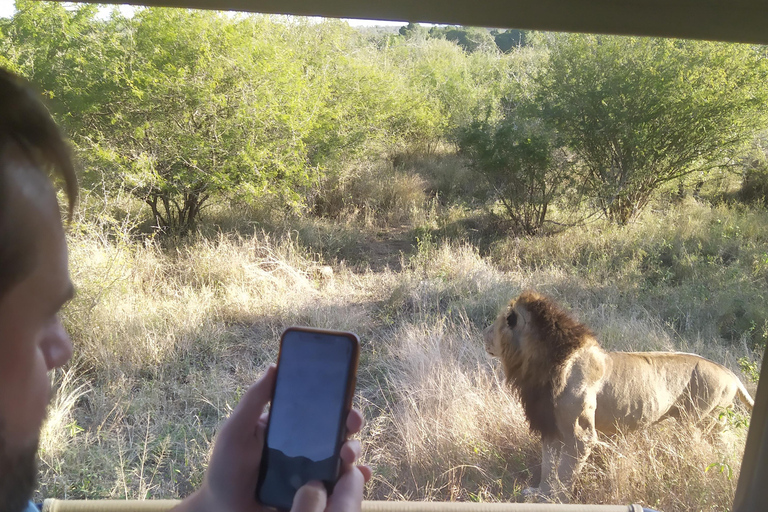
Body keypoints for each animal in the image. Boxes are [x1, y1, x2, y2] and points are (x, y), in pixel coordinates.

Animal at [486, 290, 756, 502]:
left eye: (497, 323)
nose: (484, 334)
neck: (537, 363)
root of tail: (730, 373)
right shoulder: (549, 424)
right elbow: (547, 464)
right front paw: (540, 493)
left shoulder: (580, 434)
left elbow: (564, 471)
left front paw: (554, 500)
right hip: (715, 423)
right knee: (725, 445)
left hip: (695, 422)